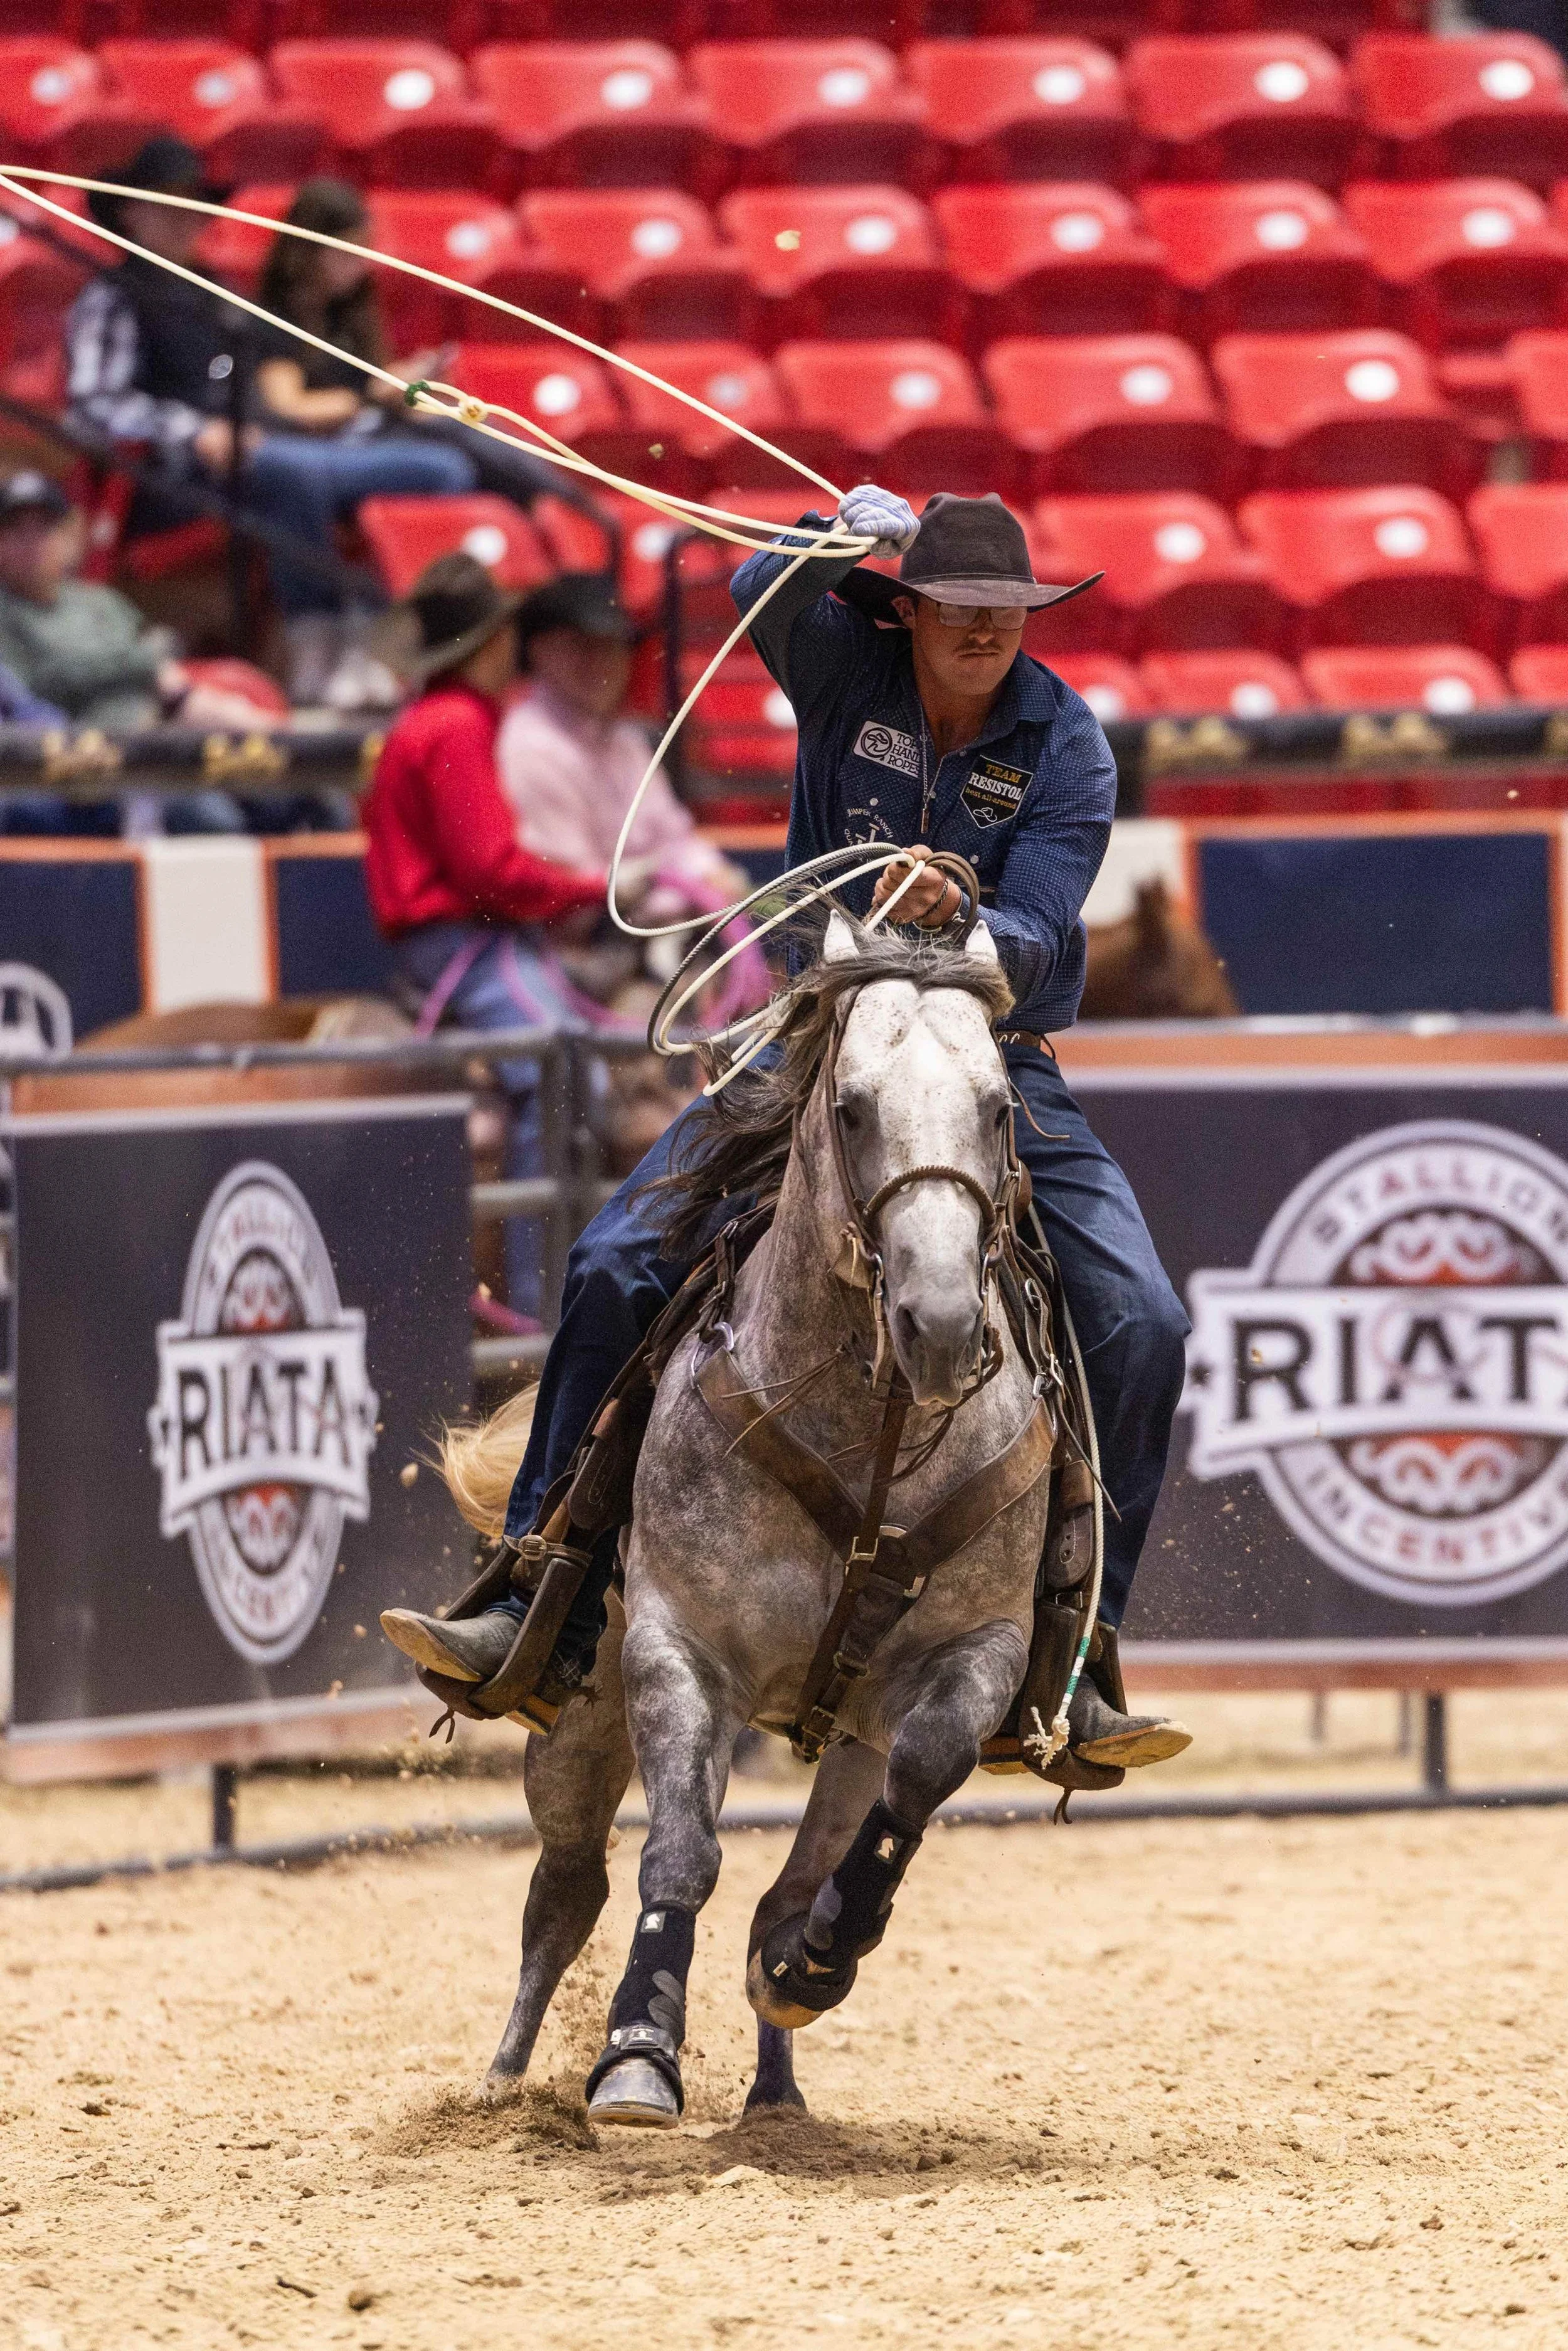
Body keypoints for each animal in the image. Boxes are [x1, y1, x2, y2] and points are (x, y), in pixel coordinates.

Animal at [436, 913, 1060, 2125]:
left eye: (999, 1105)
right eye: (852, 1106)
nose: (938, 1321)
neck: (871, 1440)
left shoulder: (976, 1653)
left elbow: (913, 1783)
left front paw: (816, 1959)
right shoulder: (679, 1647)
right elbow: (679, 1853)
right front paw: (637, 2051)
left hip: (845, 1735)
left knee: (786, 1879)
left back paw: (779, 2080)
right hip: (583, 1701)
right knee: (566, 1885)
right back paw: (500, 2080)